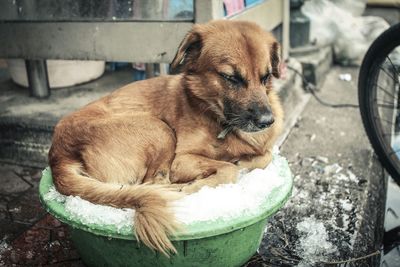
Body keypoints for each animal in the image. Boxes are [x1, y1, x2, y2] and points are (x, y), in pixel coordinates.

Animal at [47, 20, 284, 255]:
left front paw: (244, 161)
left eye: (266, 77)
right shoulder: (181, 160)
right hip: (160, 130)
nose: (266, 121)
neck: (218, 120)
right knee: (156, 182)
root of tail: (58, 154)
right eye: (230, 77)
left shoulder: (262, 149)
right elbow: (229, 169)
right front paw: (200, 183)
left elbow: (265, 157)